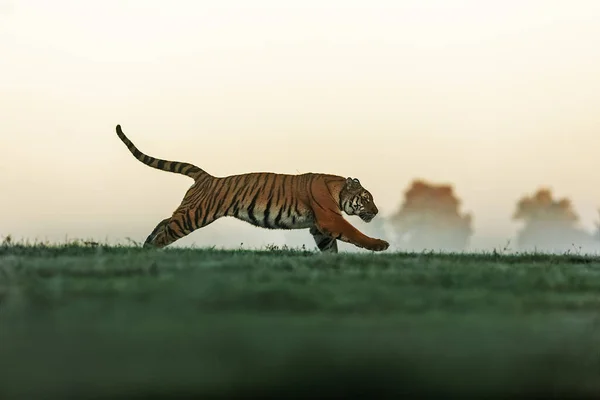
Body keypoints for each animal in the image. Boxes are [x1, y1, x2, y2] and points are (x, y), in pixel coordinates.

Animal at [115, 124, 392, 253]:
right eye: (366, 198)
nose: (377, 212)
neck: (336, 189)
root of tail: (206, 176)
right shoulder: (330, 218)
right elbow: (354, 232)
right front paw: (380, 245)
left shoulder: (319, 226)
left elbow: (329, 247)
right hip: (195, 215)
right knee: (168, 229)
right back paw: (152, 250)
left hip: (189, 211)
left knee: (164, 221)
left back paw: (146, 244)